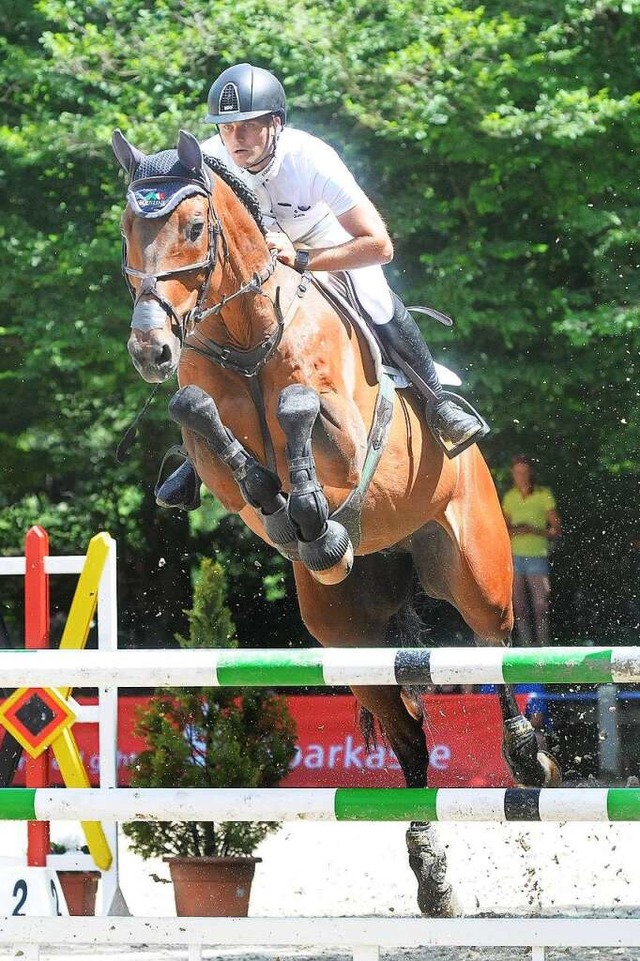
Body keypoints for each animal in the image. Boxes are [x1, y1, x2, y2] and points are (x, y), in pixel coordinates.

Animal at [114, 127, 560, 916]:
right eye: (125, 230)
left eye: (194, 226)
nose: (150, 349)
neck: (246, 334)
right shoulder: (203, 432)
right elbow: (193, 410)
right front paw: (284, 508)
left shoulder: (352, 444)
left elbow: (297, 405)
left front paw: (309, 511)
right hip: (346, 635)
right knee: (409, 739)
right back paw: (432, 874)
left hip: (475, 568)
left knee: (494, 645)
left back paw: (523, 755)